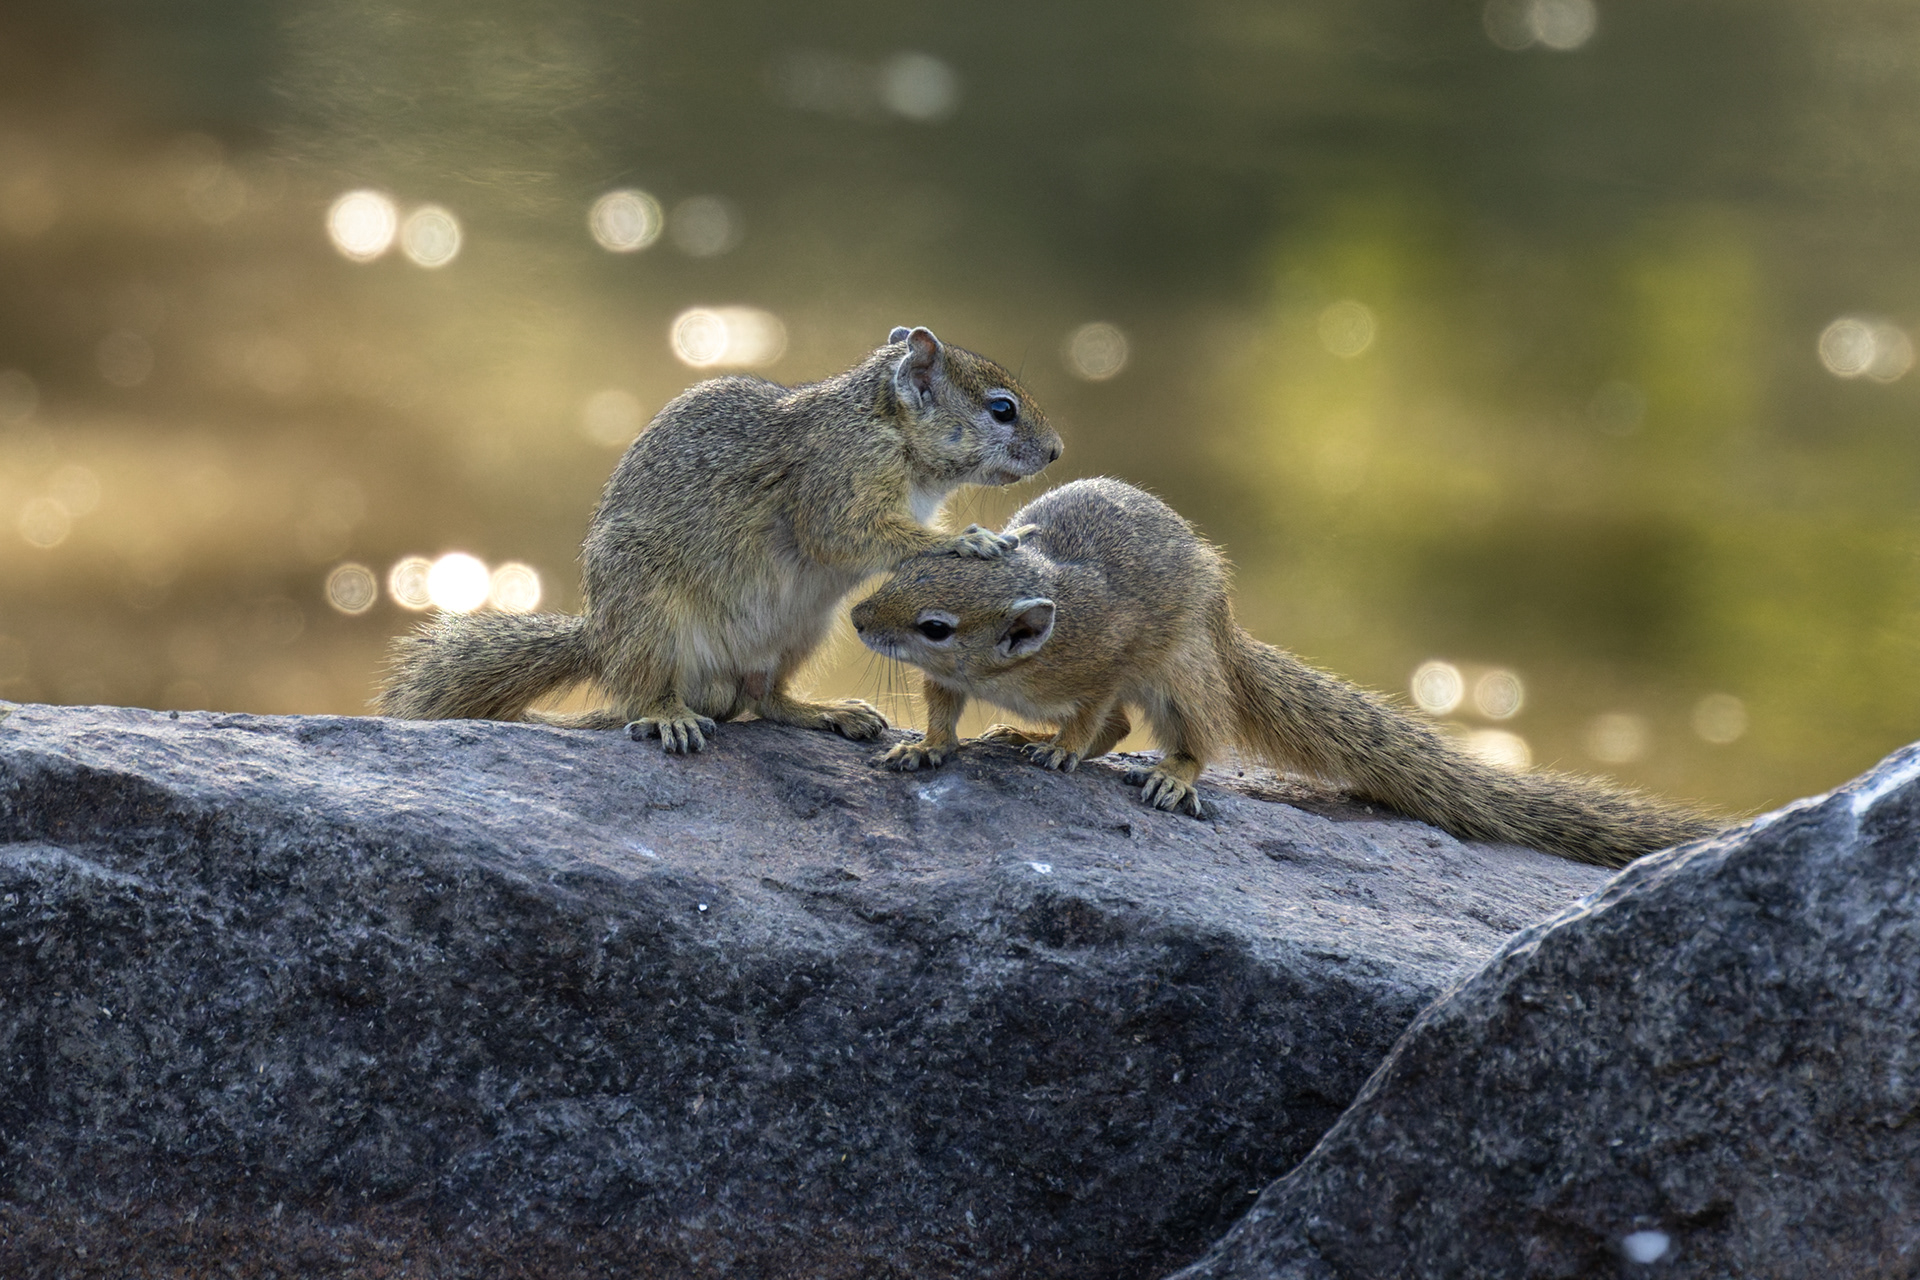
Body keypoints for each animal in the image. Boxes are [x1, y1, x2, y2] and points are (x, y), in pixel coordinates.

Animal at [378, 327, 1063, 752]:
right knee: (648, 694)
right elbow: (852, 538)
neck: (885, 426)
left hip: (799, 633)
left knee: (766, 701)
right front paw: (970, 541)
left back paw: (825, 713)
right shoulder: (836, 479)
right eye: (1001, 409)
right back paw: (669, 717)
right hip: (649, 620)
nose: (1057, 450)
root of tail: (600, 643)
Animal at [849, 477, 1720, 868]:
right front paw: (925, 747)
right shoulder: (954, 681)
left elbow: (1093, 713)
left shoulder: (1107, 657)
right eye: (911, 565)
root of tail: (1230, 633)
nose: (858, 620)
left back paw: (1170, 774)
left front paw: (1060, 749)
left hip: (1189, 674)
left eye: (935, 625)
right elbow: (941, 710)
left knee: (1185, 732)